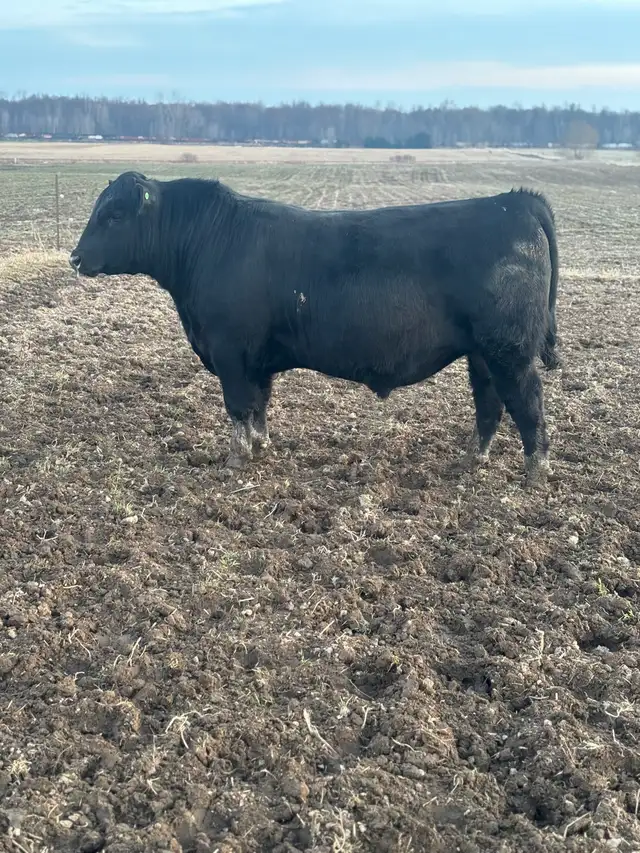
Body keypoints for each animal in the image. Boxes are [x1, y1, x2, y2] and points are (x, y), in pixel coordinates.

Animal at [70, 171, 560, 486]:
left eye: (114, 215)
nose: (75, 257)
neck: (208, 241)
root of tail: (515, 200)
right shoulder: (256, 359)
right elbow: (260, 404)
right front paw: (261, 446)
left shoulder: (230, 354)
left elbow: (238, 407)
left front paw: (235, 459)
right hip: (483, 353)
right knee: (489, 404)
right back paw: (473, 459)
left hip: (510, 350)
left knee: (528, 403)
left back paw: (535, 473)